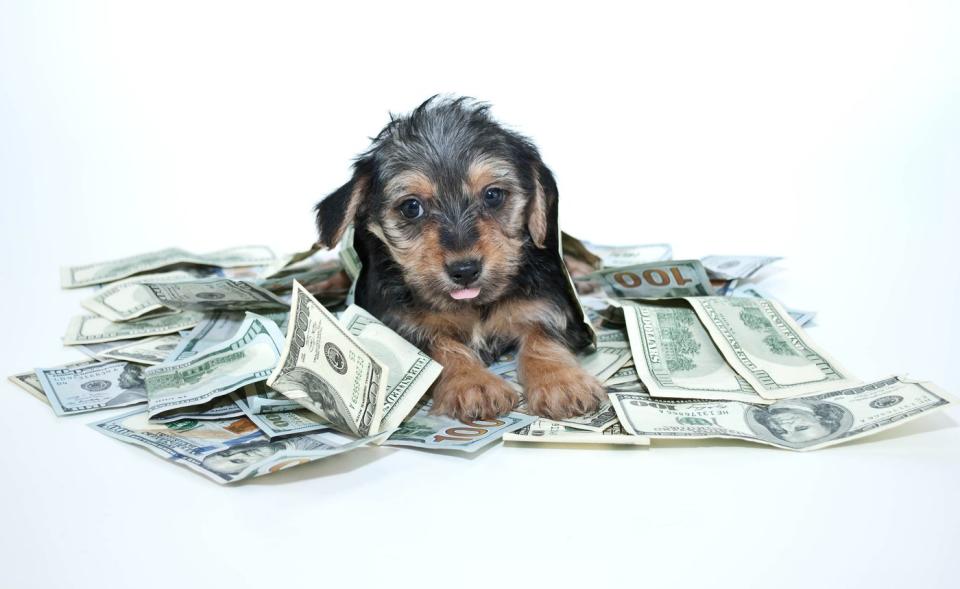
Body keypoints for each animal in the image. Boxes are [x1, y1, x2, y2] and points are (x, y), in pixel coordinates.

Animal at [316, 96, 604, 420]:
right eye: (411, 207)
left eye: (493, 195)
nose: (465, 270)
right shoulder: (401, 323)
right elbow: (441, 347)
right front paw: (473, 384)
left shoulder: (546, 304)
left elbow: (542, 336)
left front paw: (561, 382)